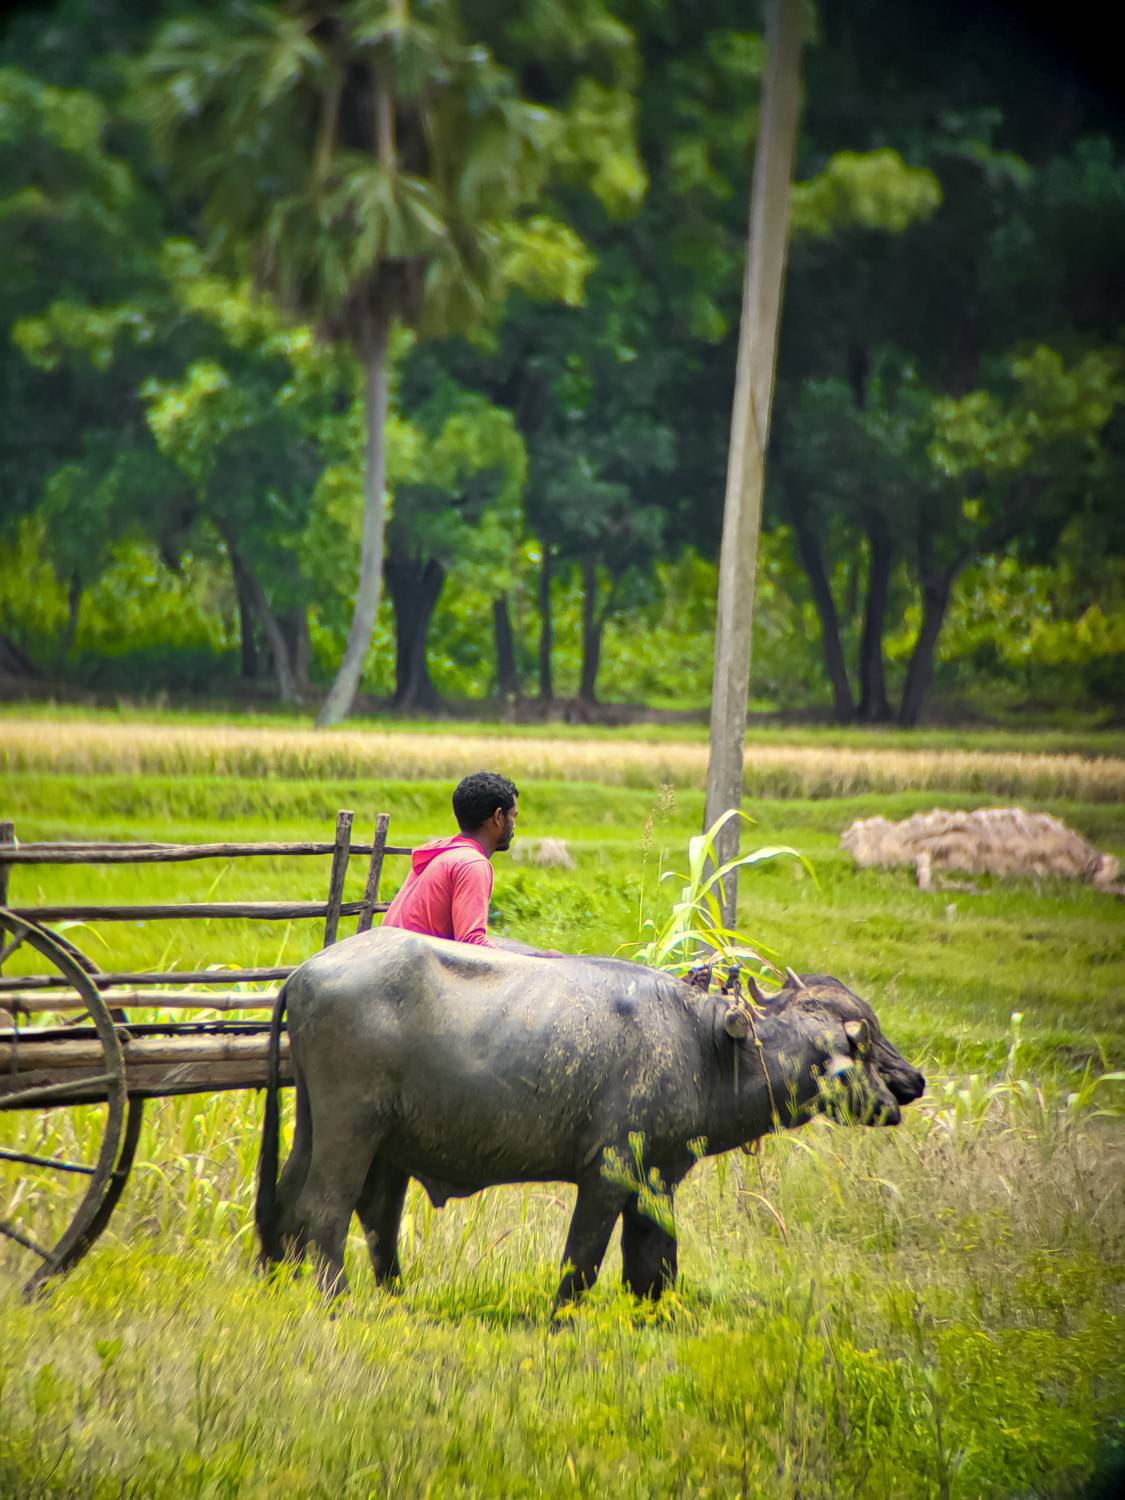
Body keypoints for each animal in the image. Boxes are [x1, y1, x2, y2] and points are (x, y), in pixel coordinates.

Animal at [255, 928, 924, 1310]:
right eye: (861, 1041)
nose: (911, 1083)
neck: (702, 1045)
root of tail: (306, 972)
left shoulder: (658, 1180)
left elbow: (653, 1257)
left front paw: (652, 1317)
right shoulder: (607, 1175)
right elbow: (584, 1257)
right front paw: (561, 1319)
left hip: (322, 1125)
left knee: (300, 1201)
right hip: (352, 1129)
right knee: (327, 1208)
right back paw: (338, 1300)